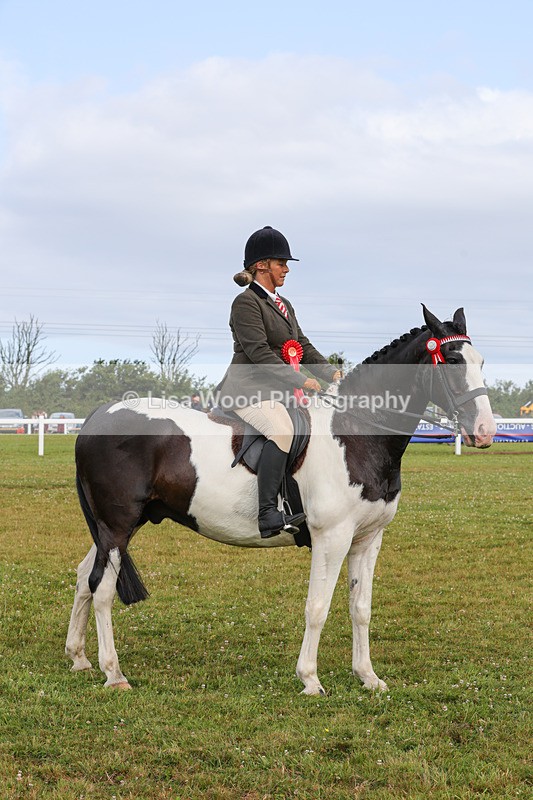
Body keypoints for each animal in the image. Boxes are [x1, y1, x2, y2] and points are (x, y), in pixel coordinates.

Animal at [65, 306, 495, 695]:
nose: (485, 431)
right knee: (103, 588)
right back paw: (113, 673)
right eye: (452, 361)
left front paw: (368, 678)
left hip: (115, 528)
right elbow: (317, 607)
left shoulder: (368, 539)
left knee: (85, 577)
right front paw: (310, 679)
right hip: (118, 526)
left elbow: (361, 608)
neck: (354, 433)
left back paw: (79, 657)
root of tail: (97, 418)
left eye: (481, 361)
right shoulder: (331, 538)